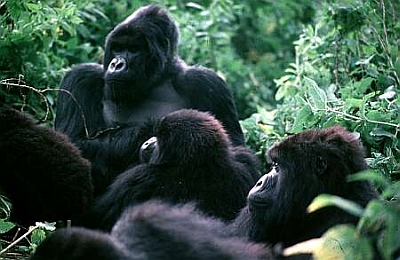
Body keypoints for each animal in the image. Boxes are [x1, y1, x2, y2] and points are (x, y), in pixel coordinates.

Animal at [54, 4, 245, 195]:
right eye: (117, 49)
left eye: (134, 50)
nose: (116, 64)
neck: (156, 79)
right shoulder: (80, 79)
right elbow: (73, 144)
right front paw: (149, 129)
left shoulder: (208, 83)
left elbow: (233, 147)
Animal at [91, 108, 260, 231]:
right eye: (156, 135)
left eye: (159, 140)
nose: (147, 142)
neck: (201, 163)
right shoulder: (245, 159)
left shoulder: (138, 178)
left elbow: (98, 215)